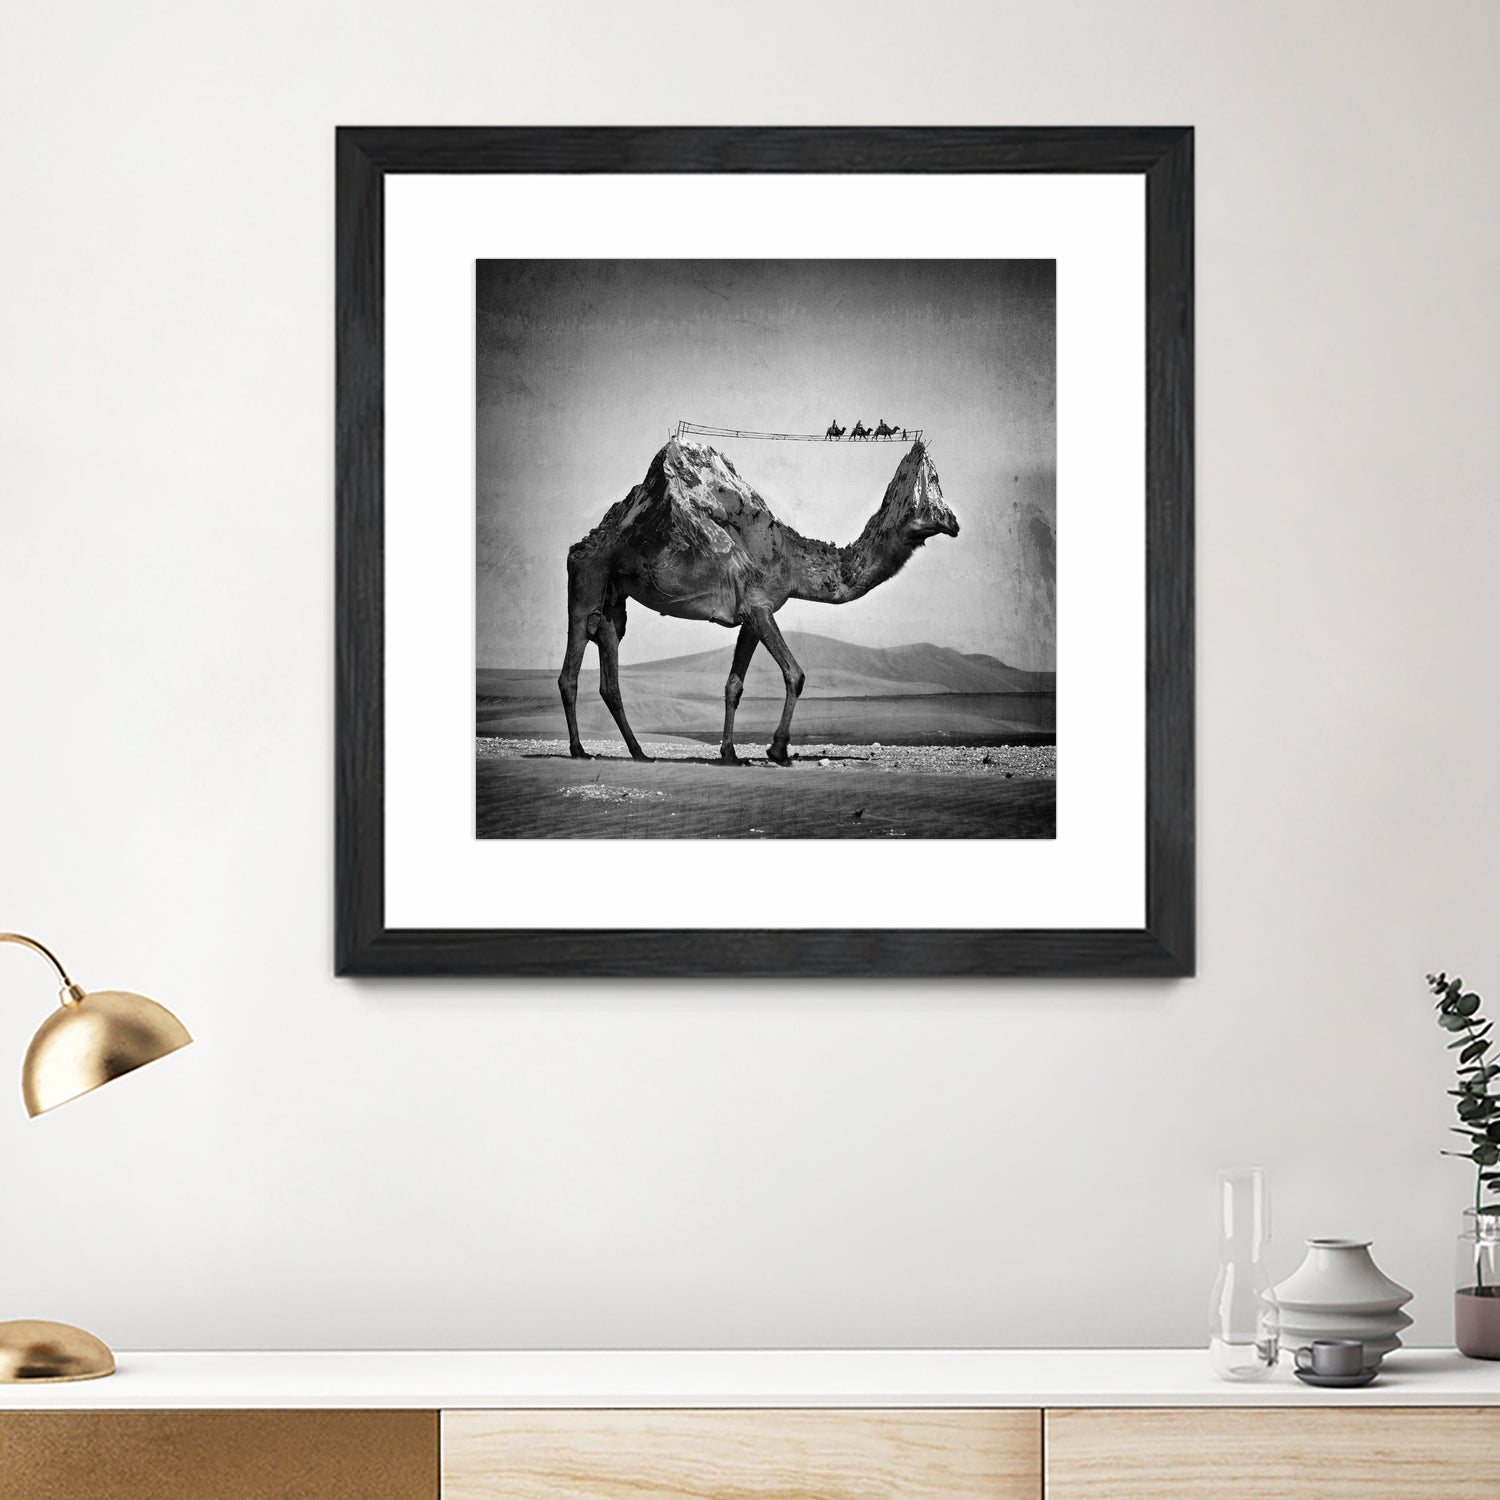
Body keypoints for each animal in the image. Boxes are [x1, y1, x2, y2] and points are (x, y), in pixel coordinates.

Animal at [558, 438, 959, 765]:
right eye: (933, 487)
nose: (955, 522)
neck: (791, 560)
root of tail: (580, 546)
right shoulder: (759, 607)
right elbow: (795, 673)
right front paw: (777, 749)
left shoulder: (750, 618)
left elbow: (733, 686)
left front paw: (730, 753)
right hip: (587, 583)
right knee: (570, 672)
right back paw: (579, 750)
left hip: (613, 599)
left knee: (609, 675)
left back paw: (639, 752)